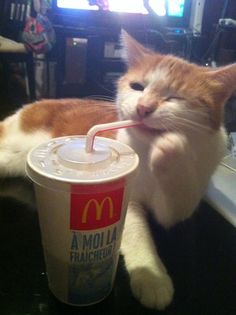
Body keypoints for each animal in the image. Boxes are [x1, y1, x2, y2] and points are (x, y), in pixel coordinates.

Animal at [0, 30, 234, 310]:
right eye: (137, 87)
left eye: (174, 97)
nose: (144, 107)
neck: (145, 152)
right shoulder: (128, 200)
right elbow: (136, 234)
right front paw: (151, 276)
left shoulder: (179, 205)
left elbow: (177, 198)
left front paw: (172, 150)